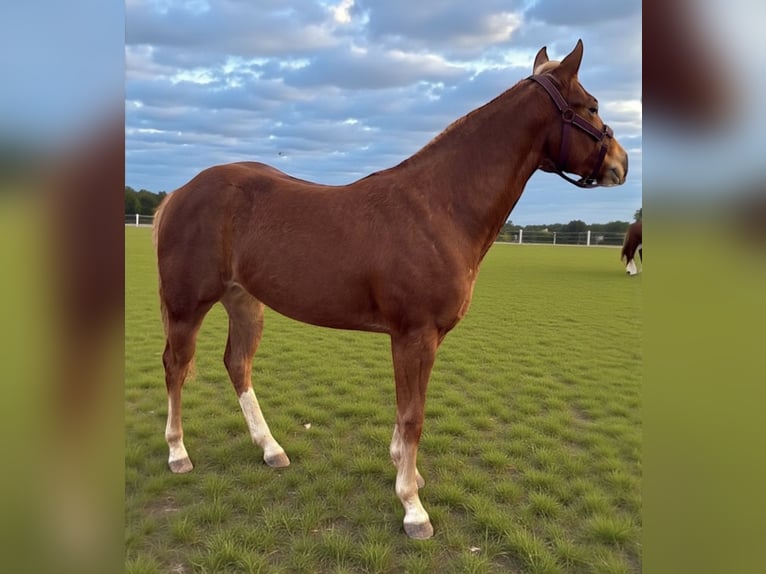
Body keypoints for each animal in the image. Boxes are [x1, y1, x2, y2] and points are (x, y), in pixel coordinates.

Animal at [153, 39, 628, 539]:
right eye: (591, 107)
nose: (622, 163)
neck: (440, 206)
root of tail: (181, 193)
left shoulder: (421, 338)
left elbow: (407, 415)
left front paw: (407, 472)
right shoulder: (414, 336)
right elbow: (413, 416)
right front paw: (413, 508)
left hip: (244, 301)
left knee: (237, 364)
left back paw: (270, 448)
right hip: (188, 306)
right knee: (175, 366)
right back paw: (178, 453)